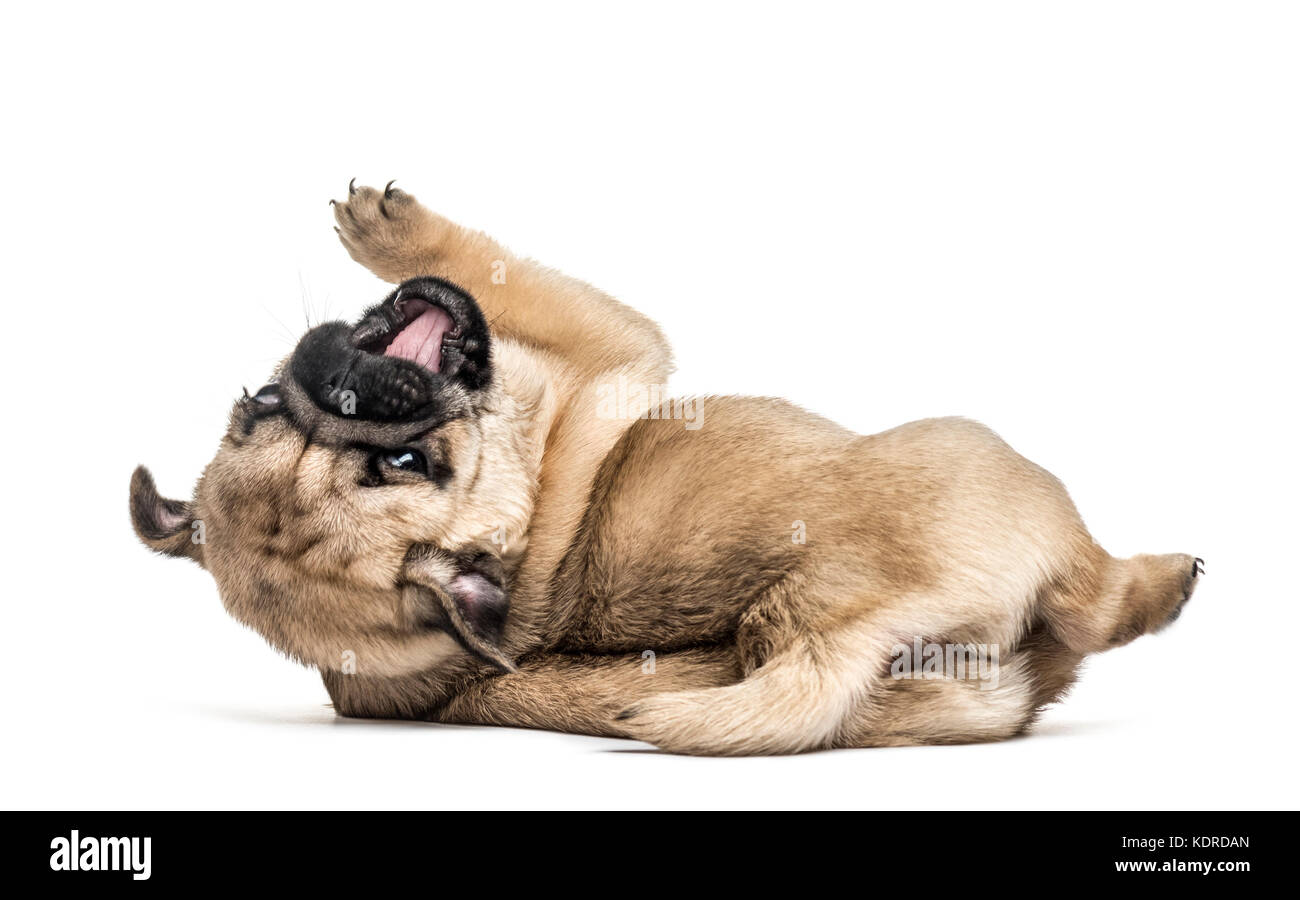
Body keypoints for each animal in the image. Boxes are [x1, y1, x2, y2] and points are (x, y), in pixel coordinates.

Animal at [126, 183, 1201, 754]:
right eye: (409, 459)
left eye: (260, 404)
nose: (336, 383)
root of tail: (827, 630)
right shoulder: (611, 339)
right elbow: (513, 274)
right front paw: (407, 230)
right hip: (980, 449)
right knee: (1098, 595)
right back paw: (1172, 577)